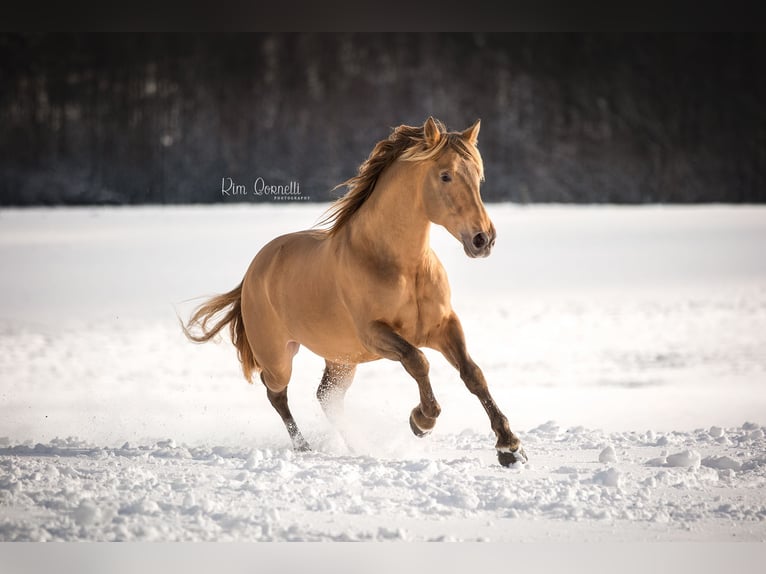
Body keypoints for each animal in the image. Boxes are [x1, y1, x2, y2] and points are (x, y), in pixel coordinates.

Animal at [182, 118, 528, 468]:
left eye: (478, 176)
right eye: (446, 175)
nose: (483, 239)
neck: (404, 267)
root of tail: (254, 271)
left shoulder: (444, 326)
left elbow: (473, 374)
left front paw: (510, 447)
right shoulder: (374, 334)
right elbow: (417, 361)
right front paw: (421, 421)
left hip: (341, 360)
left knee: (326, 397)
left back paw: (355, 444)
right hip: (280, 358)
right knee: (276, 394)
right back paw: (305, 447)